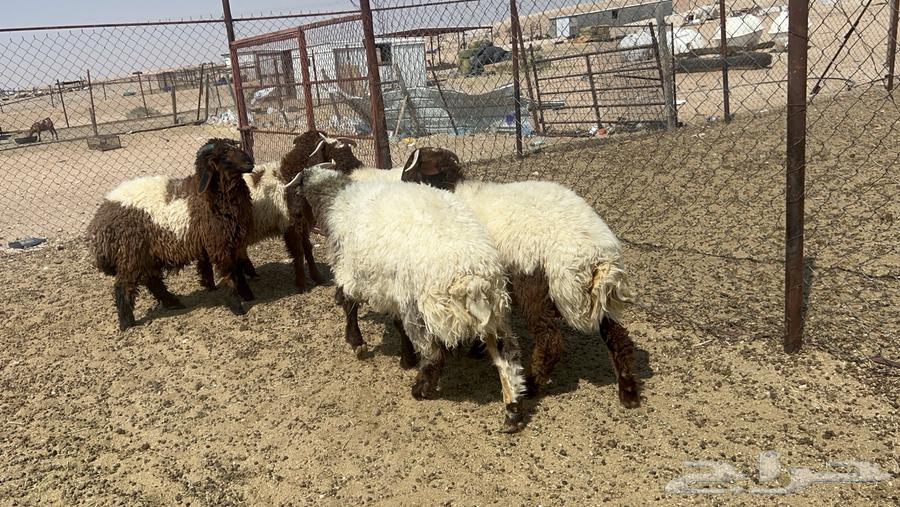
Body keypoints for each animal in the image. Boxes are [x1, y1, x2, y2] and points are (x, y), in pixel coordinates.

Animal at [87, 138, 256, 330]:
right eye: (224, 153)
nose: (250, 162)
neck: (212, 196)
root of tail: (98, 223)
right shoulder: (219, 245)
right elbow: (229, 275)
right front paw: (237, 307)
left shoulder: (234, 243)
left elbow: (238, 271)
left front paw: (248, 295)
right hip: (130, 256)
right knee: (123, 287)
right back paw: (126, 323)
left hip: (144, 256)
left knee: (152, 281)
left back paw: (173, 303)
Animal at [285, 163, 527, 432]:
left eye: (294, 193)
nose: (293, 220)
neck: (336, 201)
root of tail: (473, 278)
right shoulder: (392, 290)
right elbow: (396, 324)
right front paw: (406, 357)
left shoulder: (352, 275)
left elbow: (350, 306)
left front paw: (357, 342)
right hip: (495, 313)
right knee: (508, 359)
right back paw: (512, 411)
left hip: (423, 307)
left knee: (433, 356)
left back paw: (420, 389)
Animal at [362, 147, 640, 408]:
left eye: (416, 167)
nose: (402, 183)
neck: (456, 191)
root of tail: (595, 257)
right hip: (602, 298)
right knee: (619, 338)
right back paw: (628, 392)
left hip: (533, 285)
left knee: (550, 342)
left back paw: (533, 384)